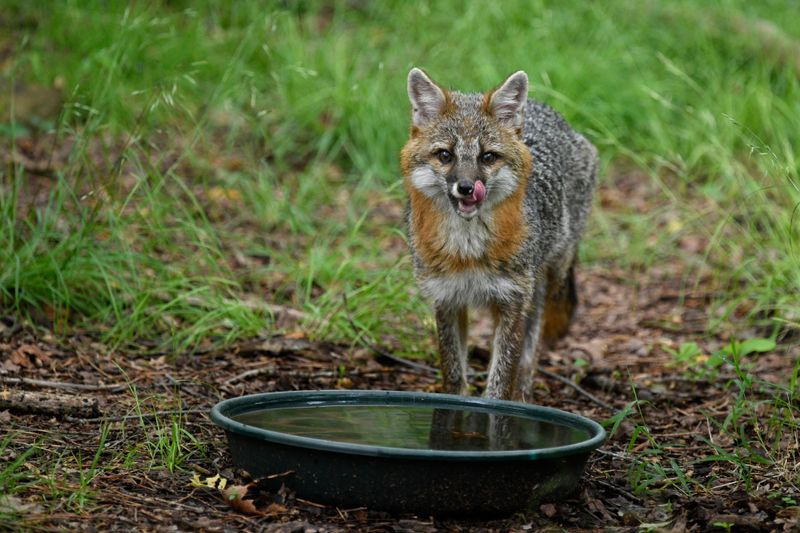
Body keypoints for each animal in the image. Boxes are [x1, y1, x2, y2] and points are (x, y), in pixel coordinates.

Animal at [400, 68, 598, 401]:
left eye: (488, 157)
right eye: (445, 155)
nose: (467, 188)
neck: (466, 249)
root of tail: (542, 108)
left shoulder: (512, 299)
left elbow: (501, 380)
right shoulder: (446, 298)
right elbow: (454, 374)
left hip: (543, 281)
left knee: (530, 348)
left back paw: (524, 395)